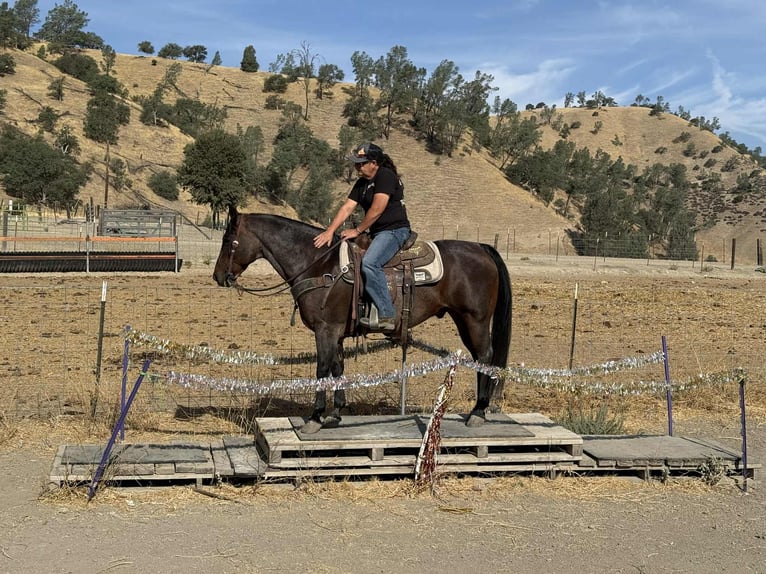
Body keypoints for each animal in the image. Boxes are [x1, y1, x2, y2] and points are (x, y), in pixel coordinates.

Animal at [213, 206, 512, 433]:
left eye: (228, 241)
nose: (218, 276)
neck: (318, 264)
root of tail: (482, 248)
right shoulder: (335, 332)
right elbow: (337, 368)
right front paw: (336, 412)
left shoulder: (325, 330)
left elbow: (322, 370)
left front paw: (315, 417)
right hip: (463, 320)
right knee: (479, 358)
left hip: (475, 320)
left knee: (486, 356)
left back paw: (478, 411)